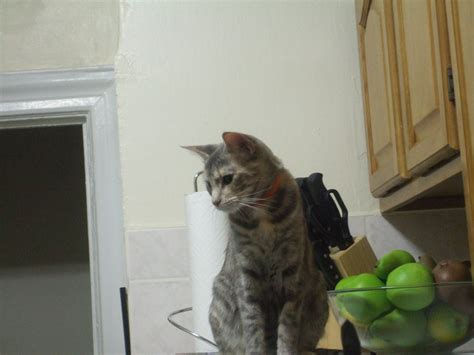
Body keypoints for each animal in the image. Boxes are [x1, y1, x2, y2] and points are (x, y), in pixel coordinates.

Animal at [183, 132, 328, 354]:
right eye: (207, 185)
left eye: (227, 179)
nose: (214, 202)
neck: (260, 209)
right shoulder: (247, 278)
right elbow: (253, 329)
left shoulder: (292, 276)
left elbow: (287, 331)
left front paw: (285, 349)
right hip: (220, 300)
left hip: (319, 296)